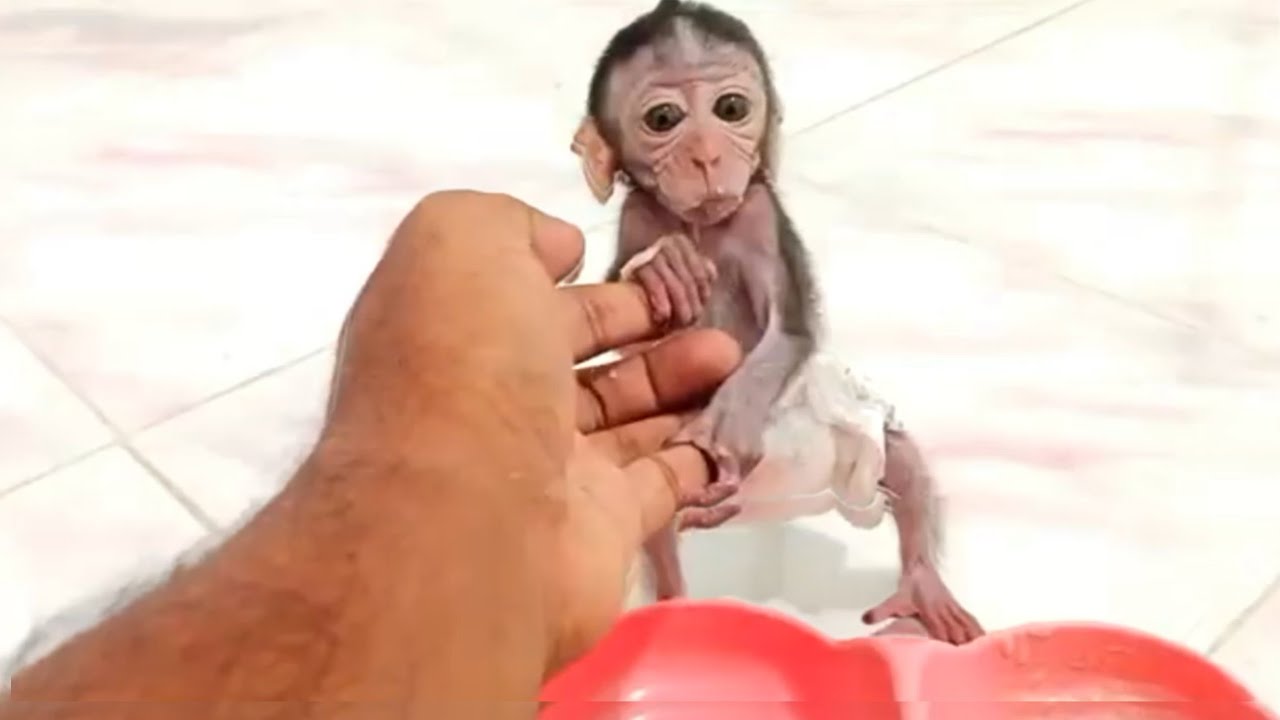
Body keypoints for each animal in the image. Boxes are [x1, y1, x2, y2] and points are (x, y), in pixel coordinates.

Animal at [570, 0, 984, 644]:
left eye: (731, 110)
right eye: (664, 119)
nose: (707, 155)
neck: (703, 225)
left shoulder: (759, 215)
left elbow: (788, 333)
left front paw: (725, 426)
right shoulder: (640, 213)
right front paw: (661, 268)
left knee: (902, 461)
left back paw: (923, 587)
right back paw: (673, 605)